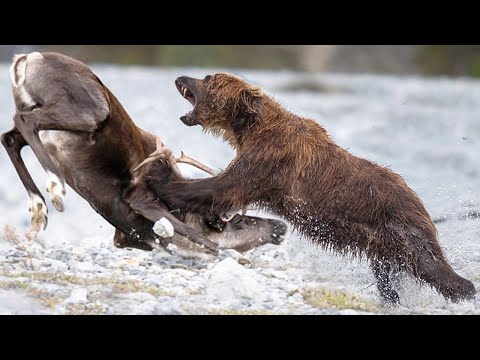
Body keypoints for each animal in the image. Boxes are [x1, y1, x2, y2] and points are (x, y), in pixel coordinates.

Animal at [148, 73, 478, 304]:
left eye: (207, 78)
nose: (180, 77)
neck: (249, 128)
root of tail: (417, 199)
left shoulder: (266, 160)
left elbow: (220, 187)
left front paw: (160, 176)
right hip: (382, 242)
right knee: (386, 272)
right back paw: (391, 298)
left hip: (400, 227)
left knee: (430, 265)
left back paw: (464, 291)